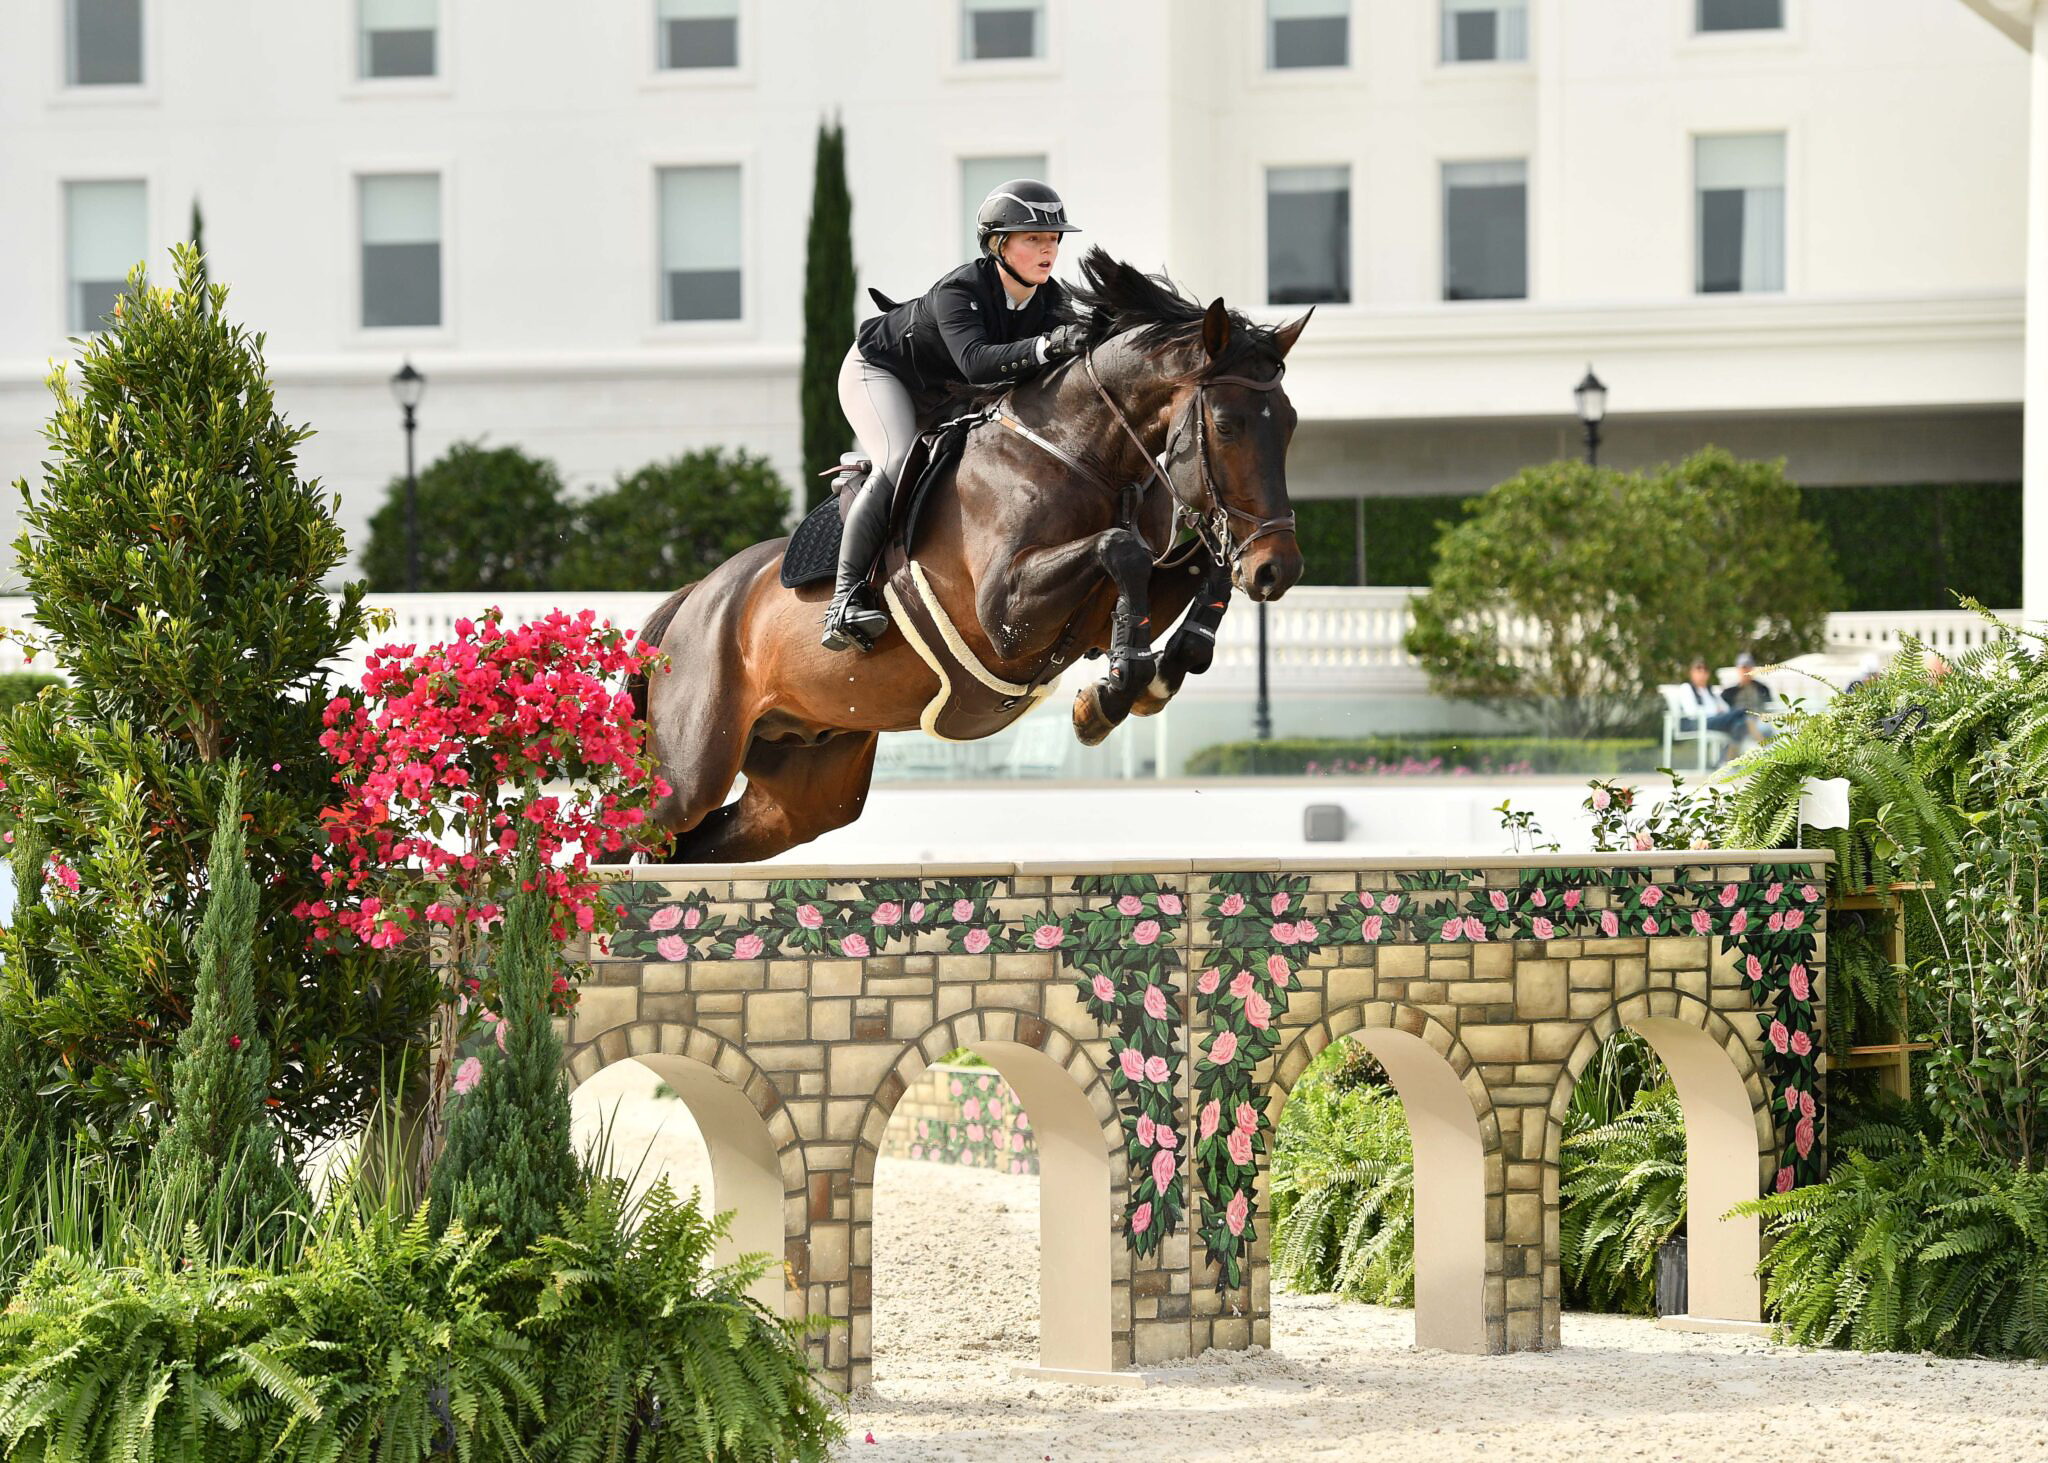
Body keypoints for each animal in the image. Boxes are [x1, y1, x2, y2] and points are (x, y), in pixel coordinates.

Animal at [625, 248, 1310, 864]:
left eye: (1291, 425)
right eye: (1226, 425)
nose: (1278, 570)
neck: (1080, 453)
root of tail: (695, 599)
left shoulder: (1099, 604)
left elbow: (1188, 569)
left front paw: (1151, 677)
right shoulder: (1005, 612)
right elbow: (1123, 550)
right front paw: (1112, 692)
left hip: (806, 785)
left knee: (696, 846)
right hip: (693, 768)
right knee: (645, 825)